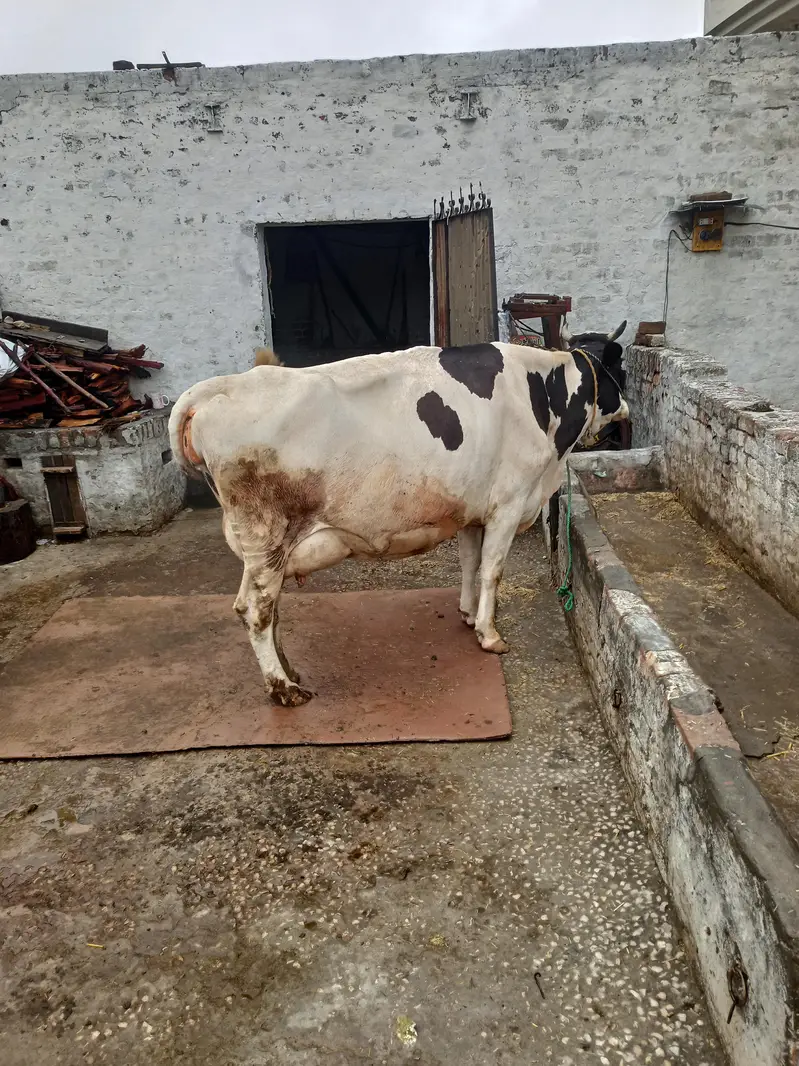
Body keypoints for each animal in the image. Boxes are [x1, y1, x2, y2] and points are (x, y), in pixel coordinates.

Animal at [169, 341, 629, 707]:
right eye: (617, 370)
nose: (626, 408)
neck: (540, 396)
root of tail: (224, 385)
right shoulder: (509, 503)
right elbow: (492, 571)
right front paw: (489, 634)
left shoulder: (471, 508)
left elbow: (470, 563)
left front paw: (466, 614)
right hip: (267, 537)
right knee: (256, 610)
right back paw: (284, 689)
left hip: (267, 549)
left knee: (264, 608)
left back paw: (288, 672)